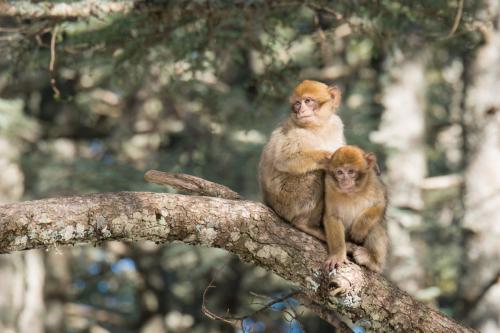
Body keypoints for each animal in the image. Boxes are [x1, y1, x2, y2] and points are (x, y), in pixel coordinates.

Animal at [260, 80, 346, 241]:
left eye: (307, 101)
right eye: (297, 103)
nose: (301, 111)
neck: (319, 127)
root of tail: (270, 203)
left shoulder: (336, 124)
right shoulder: (298, 132)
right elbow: (284, 159)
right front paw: (328, 158)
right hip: (288, 200)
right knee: (317, 173)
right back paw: (303, 223)